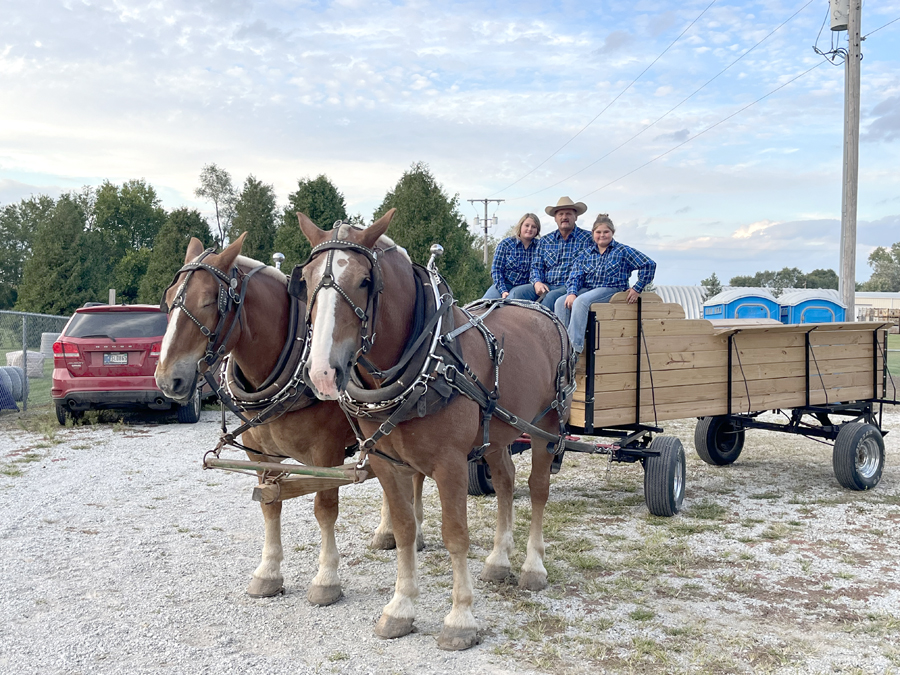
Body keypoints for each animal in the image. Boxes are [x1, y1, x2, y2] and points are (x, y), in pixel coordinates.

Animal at [155, 236, 422, 608]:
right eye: (168, 300)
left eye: (209, 301)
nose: (168, 380)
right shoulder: (258, 454)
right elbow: (271, 504)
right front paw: (267, 574)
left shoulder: (326, 453)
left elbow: (325, 509)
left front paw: (326, 579)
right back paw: (388, 532)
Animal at [298, 210, 572, 648]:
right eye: (304, 279)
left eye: (364, 280)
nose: (323, 372)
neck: (426, 361)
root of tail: (538, 308)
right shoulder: (387, 461)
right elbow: (405, 529)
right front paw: (400, 607)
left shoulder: (450, 464)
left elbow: (455, 534)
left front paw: (460, 618)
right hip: (498, 431)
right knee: (506, 481)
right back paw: (499, 559)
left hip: (547, 427)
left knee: (537, 490)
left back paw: (532, 567)